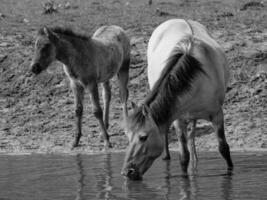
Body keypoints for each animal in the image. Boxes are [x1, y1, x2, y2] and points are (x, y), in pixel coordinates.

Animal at [122, 19, 233, 181]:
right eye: (127, 137)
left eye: (143, 137)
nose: (127, 172)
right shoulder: (177, 119)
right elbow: (183, 156)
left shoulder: (217, 115)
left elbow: (223, 148)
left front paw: (230, 172)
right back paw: (168, 156)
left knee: (192, 134)